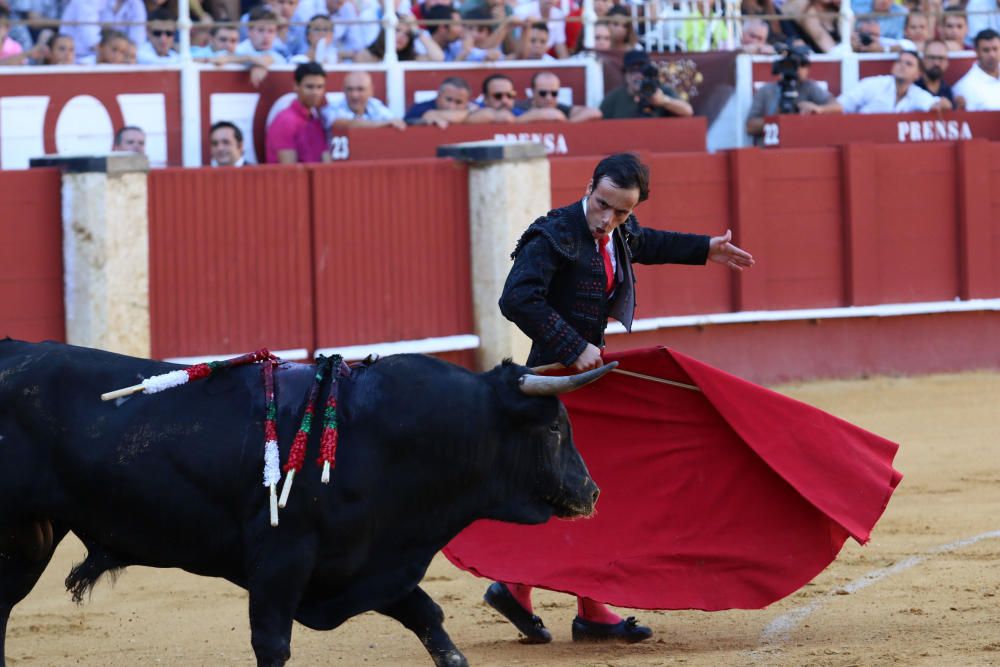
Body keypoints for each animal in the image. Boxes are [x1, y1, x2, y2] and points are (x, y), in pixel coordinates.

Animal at [0, 342, 608, 664]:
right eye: (556, 427)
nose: (591, 491)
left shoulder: (367, 562)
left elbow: (429, 617)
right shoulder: (280, 561)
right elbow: (272, 642)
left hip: (30, 539)